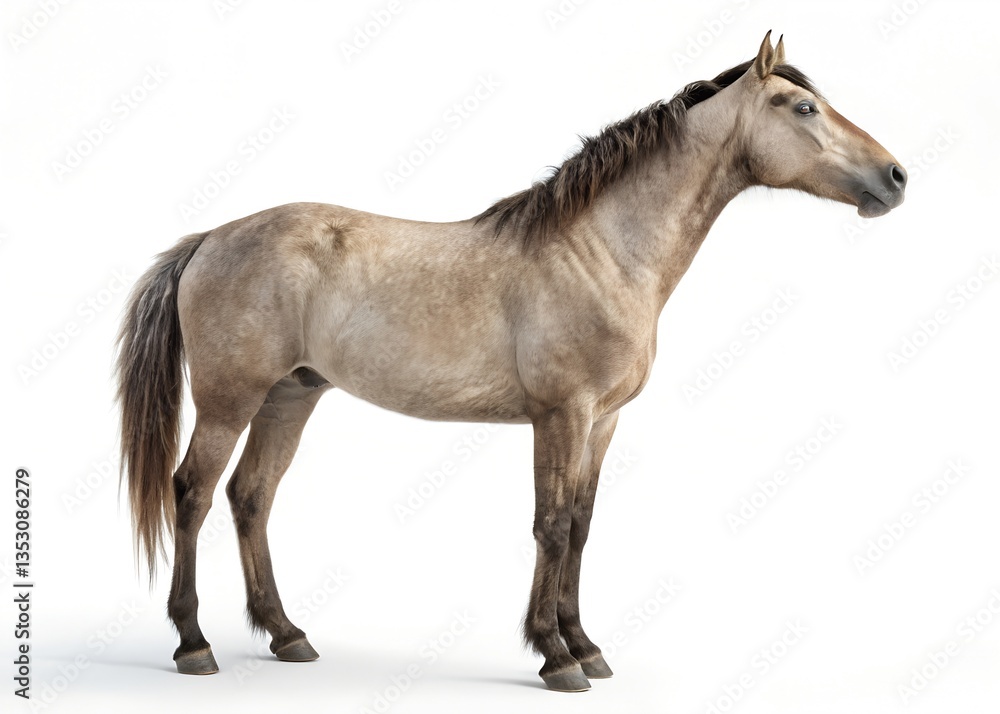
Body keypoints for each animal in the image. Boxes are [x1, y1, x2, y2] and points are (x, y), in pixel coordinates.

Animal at [116, 32, 906, 692]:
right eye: (803, 106)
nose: (895, 177)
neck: (601, 251)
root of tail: (210, 238)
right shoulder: (561, 414)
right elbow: (549, 525)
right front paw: (555, 657)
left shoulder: (603, 422)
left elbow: (581, 525)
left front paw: (586, 646)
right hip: (230, 400)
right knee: (191, 493)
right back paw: (193, 643)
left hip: (291, 395)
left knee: (252, 496)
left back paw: (287, 635)